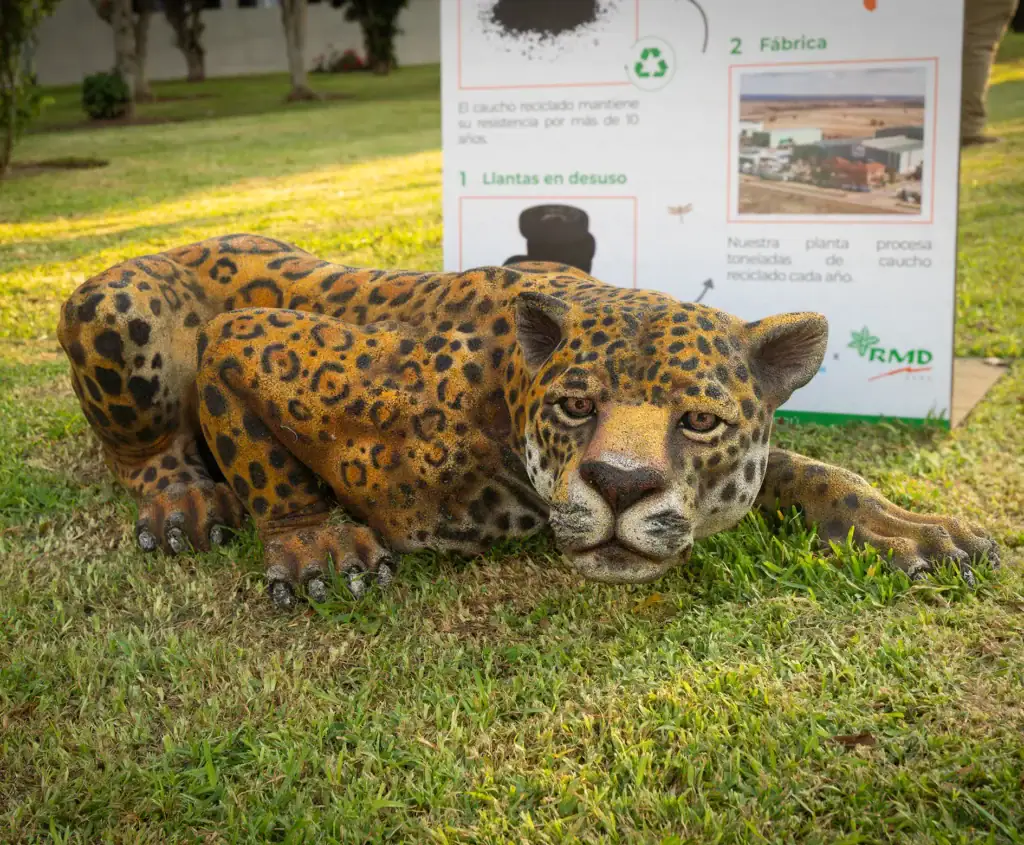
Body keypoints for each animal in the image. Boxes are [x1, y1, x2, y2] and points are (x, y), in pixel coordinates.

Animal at [57, 234, 999, 608]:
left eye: (699, 420)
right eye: (576, 405)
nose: (621, 485)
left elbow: (812, 470)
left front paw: (909, 527)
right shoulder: (252, 339)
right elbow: (264, 455)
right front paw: (315, 541)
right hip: (117, 302)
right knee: (143, 448)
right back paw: (182, 498)